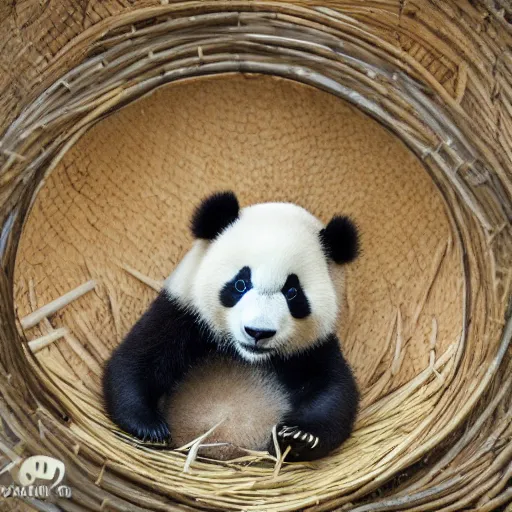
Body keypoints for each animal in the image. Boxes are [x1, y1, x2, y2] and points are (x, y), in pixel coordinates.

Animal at [102, 190, 360, 462]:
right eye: (240, 284)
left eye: (292, 292)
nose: (258, 332)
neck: (246, 356)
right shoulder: (183, 313)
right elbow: (134, 361)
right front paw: (149, 426)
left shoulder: (313, 347)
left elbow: (334, 392)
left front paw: (298, 437)